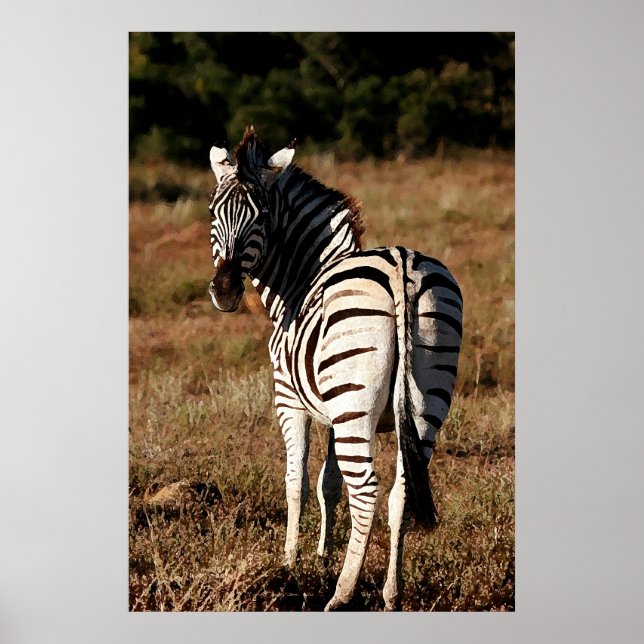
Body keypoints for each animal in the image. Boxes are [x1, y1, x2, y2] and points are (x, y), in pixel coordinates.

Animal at [207, 126, 462, 611]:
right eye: (213, 211)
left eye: (261, 216)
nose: (225, 290)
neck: (303, 278)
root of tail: (401, 263)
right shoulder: (329, 408)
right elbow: (329, 482)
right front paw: (323, 555)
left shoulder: (290, 400)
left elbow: (297, 481)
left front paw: (291, 562)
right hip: (421, 400)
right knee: (401, 491)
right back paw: (391, 593)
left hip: (354, 407)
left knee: (367, 491)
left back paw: (342, 594)